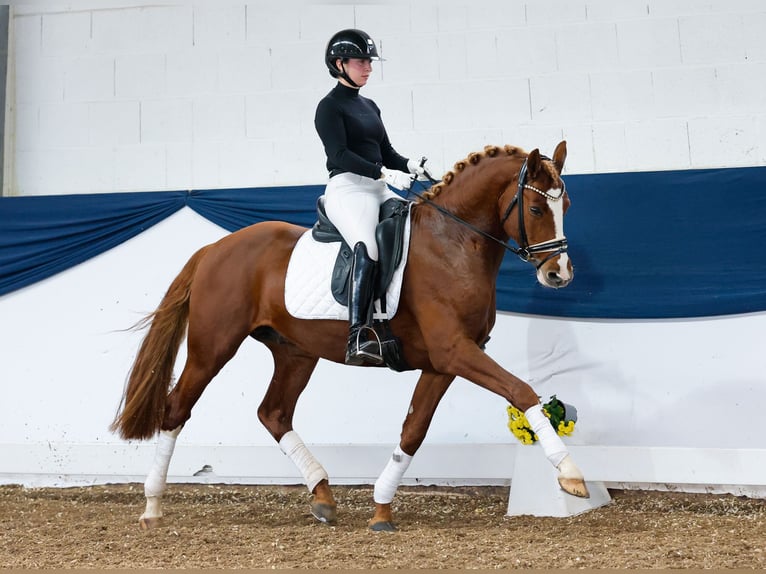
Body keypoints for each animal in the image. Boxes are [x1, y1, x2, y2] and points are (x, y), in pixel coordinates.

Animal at [109, 142, 588, 532]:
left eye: (566, 203)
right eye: (537, 210)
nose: (559, 275)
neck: (452, 242)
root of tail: (214, 249)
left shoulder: (443, 362)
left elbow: (413, 430)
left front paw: (381, 508)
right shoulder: (455, 352)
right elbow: (521, 391)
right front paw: (570, 475)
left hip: (295, 352)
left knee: (273, 413)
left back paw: (322, 495)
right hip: (213, 348)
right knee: (177, 409)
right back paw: (152, 507)